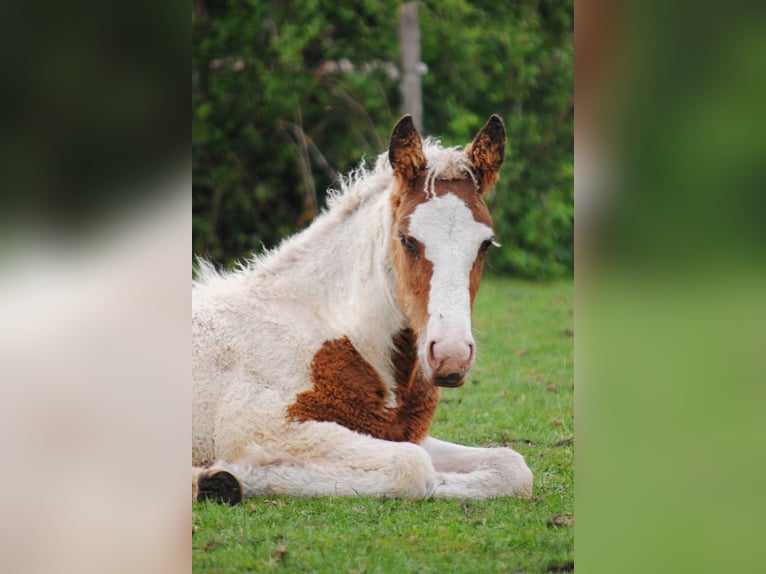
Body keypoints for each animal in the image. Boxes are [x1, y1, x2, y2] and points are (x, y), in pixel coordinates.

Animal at [192, 115, 533, 503]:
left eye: (486, 243)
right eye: (406, 240)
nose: (451, 356)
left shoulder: (398, 433)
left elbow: (512, 465)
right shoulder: (260, 428)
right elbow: (414, 467)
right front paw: (244, 474)